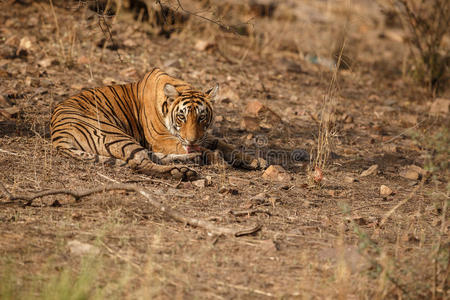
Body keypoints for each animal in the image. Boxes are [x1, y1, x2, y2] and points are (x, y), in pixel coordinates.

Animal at [50, 68, 256, 180]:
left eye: (201, 117)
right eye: (182, 117)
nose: (191, 140)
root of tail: (58, 136)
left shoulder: (202, 136)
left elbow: (223, 144)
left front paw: (252, 160)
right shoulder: (161, 139)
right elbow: (206, 149)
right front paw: (219, 161)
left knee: (152, 158)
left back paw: (191, 161)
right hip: (115, 135)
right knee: (138, 163)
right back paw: (181, 172)